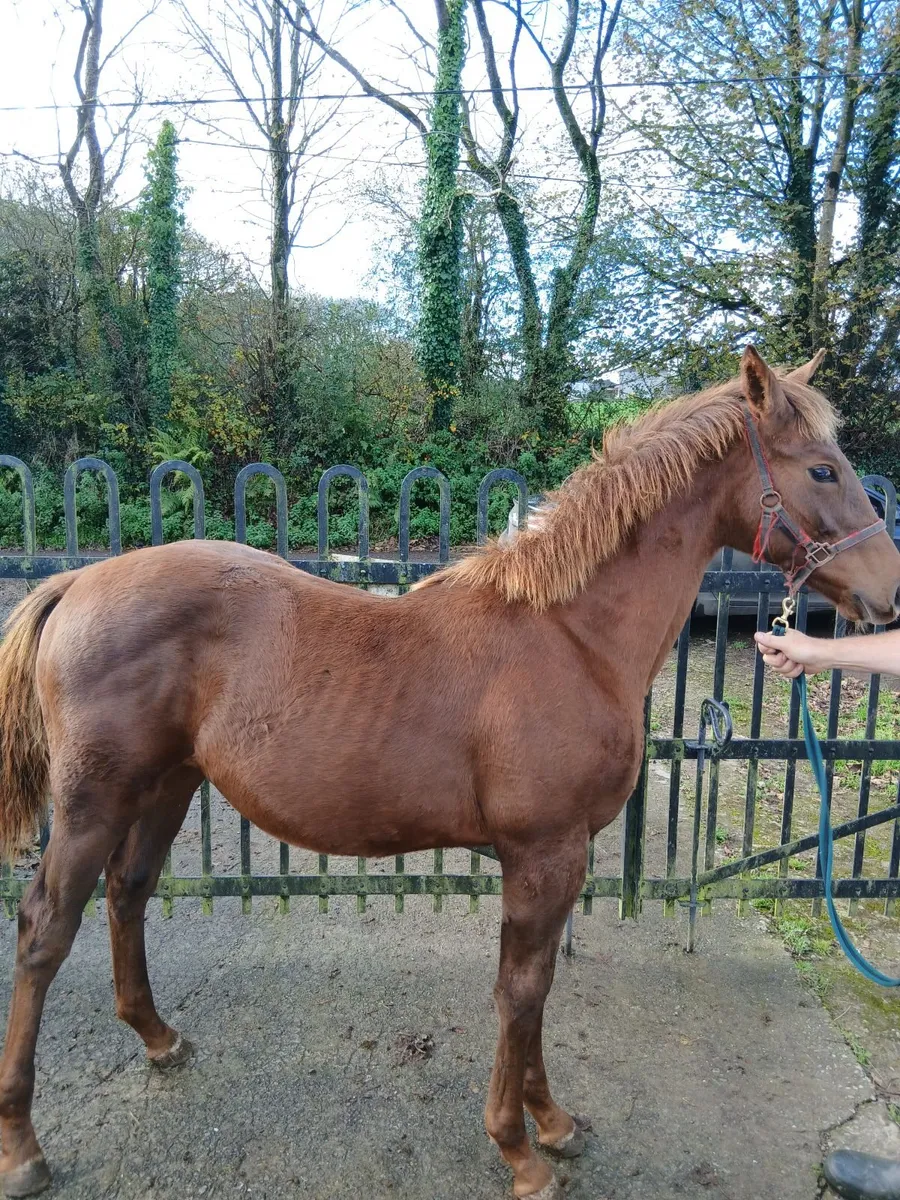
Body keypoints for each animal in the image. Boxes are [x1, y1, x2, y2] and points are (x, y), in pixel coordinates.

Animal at [0, 346, 897, 1200]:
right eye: (823, 469)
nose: (887, 592)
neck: (570, 636)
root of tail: (78, 580)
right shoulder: (545, 855)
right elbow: (521, 991)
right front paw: (520, 1150)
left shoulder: (553, 861)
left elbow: (533, 991)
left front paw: (552, 1121)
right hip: (92, 803)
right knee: (45, 927)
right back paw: (23, 1146)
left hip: (166, 786)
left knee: (128, 895)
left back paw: (159, 1039)